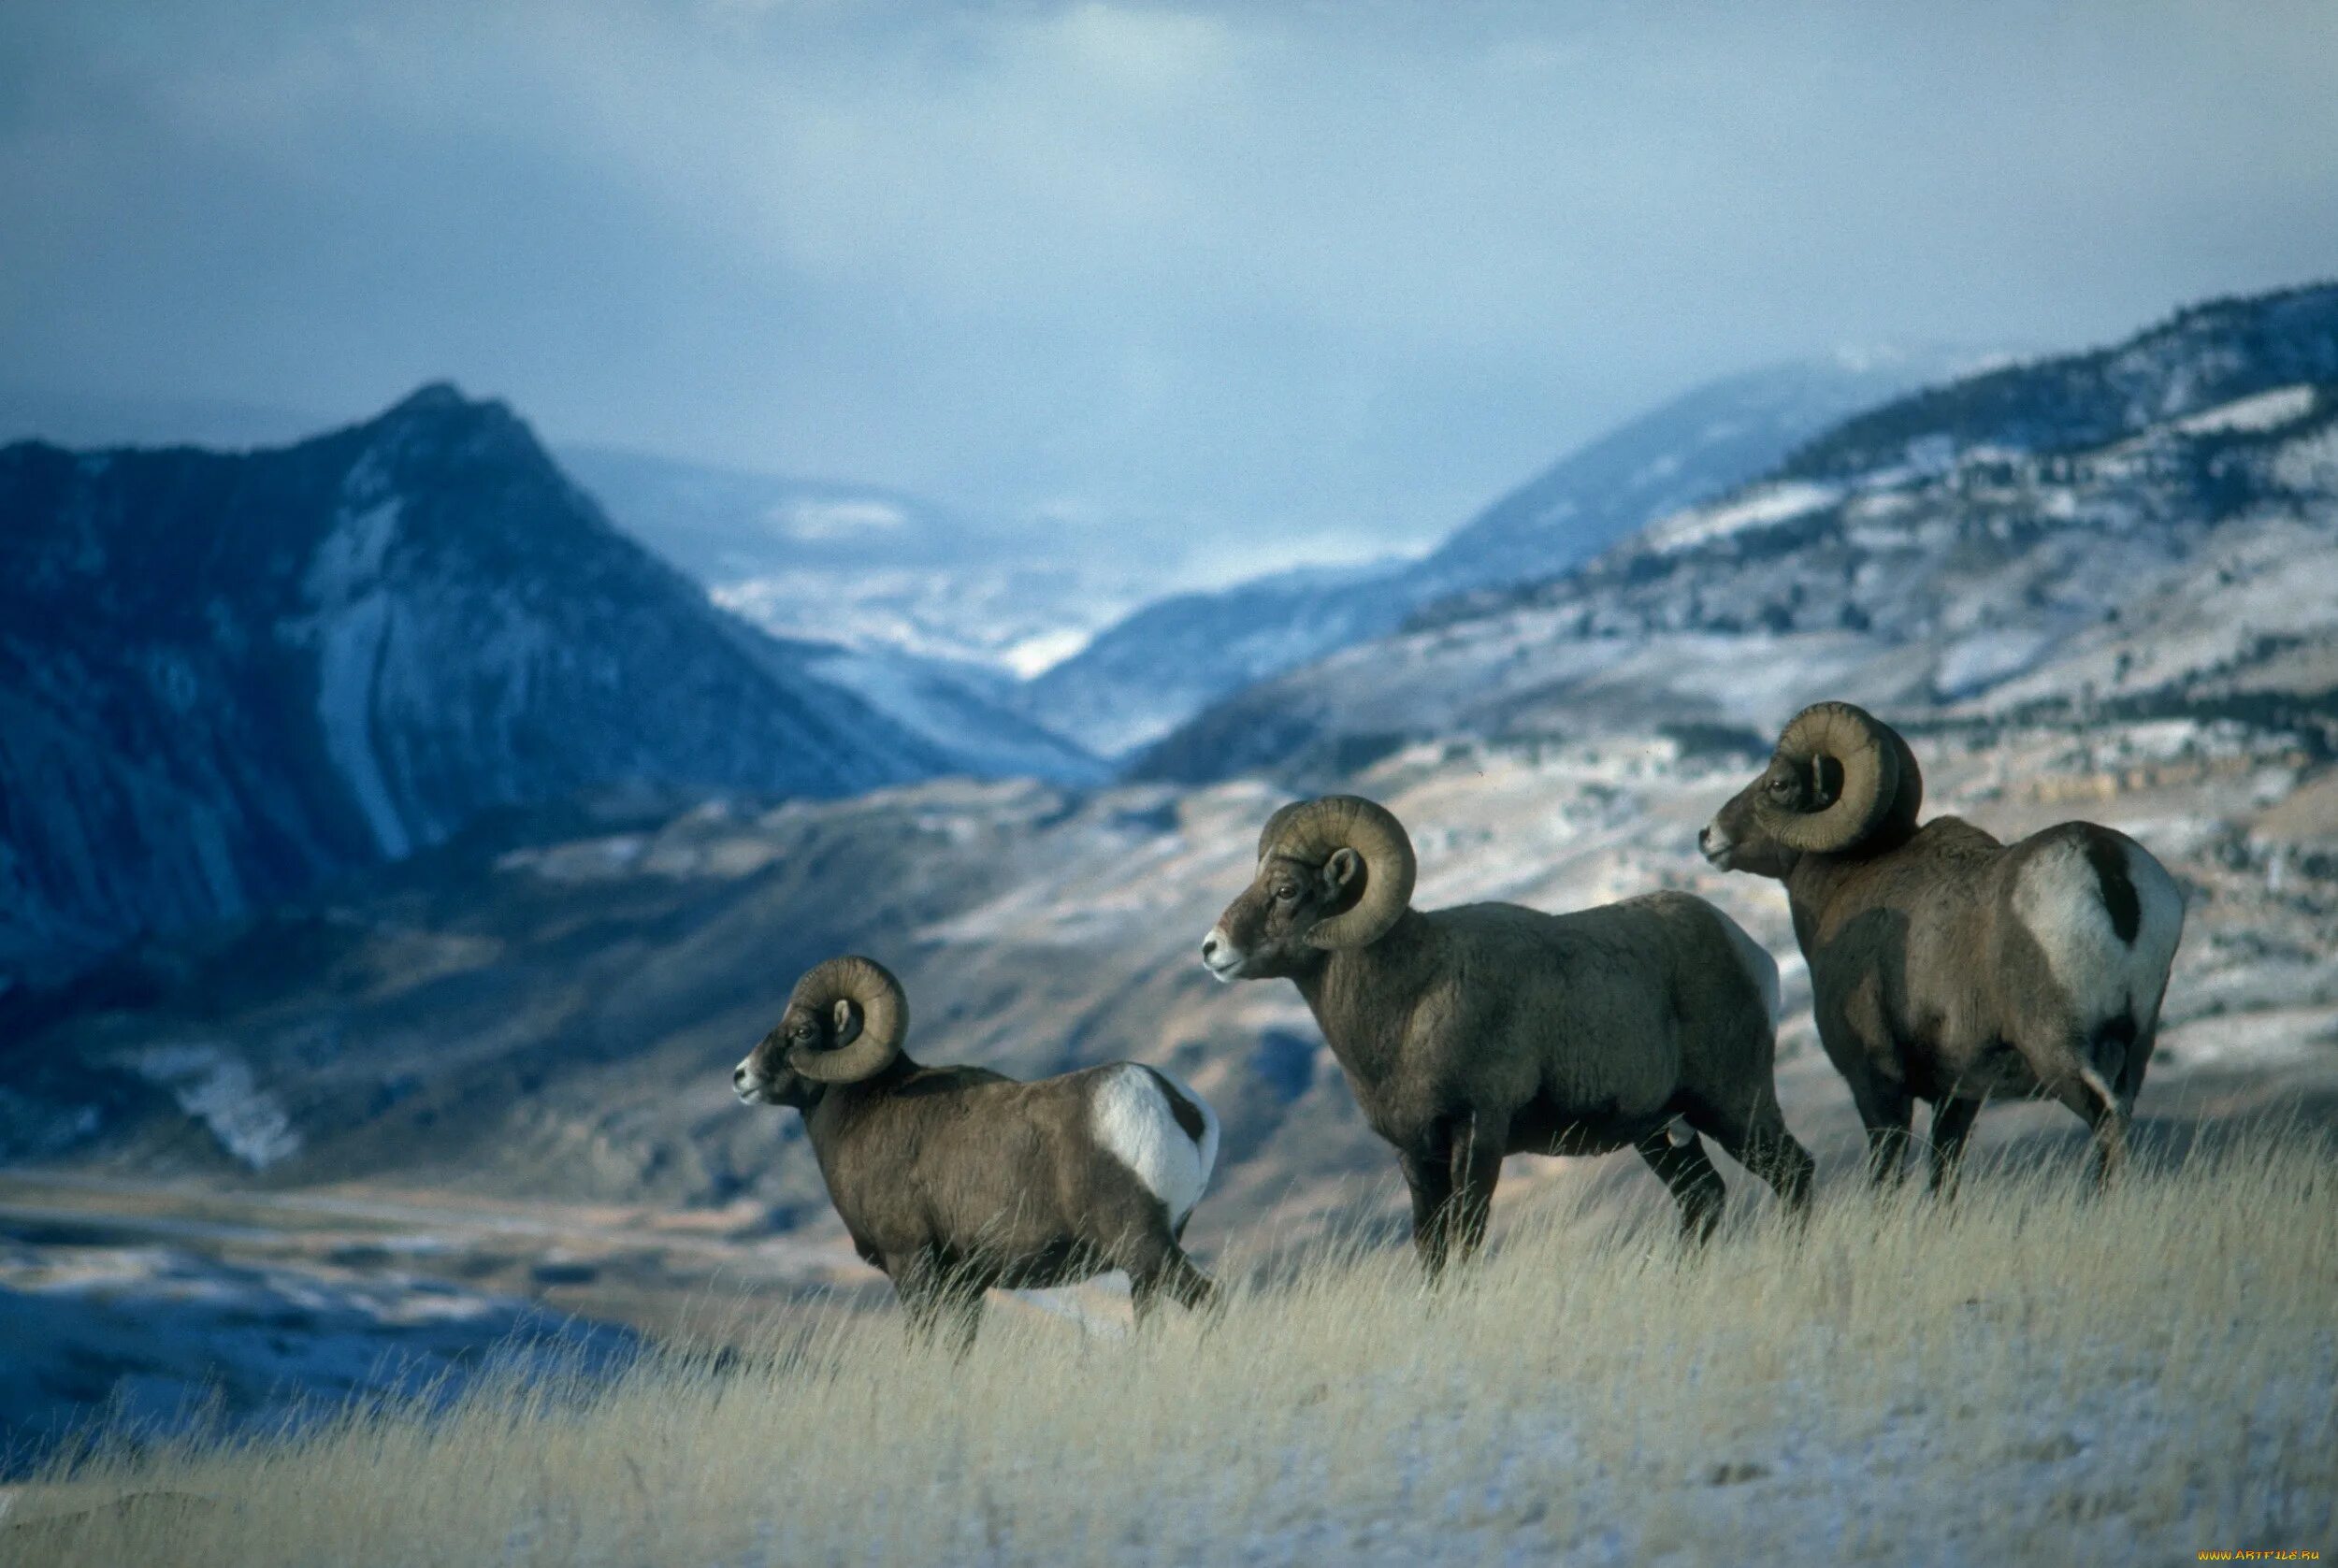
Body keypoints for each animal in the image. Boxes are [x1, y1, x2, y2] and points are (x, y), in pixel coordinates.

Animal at [729, 957, 1216, 1345]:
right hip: (1143, 1266)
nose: (740, 1077)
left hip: (1143, 1245)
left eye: (803, 1031)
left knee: (1210, 1298)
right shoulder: (966, 1287)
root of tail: (1179, 1105)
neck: (867, 1113)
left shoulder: (912, 1264)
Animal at [1206, 798, 1805, 1271]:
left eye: (1286, 890)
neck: (1408, 1007)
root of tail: (1750, 952)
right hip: (1660, 1133)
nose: (1212, 950)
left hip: (1734, 1107)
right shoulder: (1414, 1155)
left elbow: (1466, 1239)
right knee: (1704, 1197)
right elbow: (1432, 1249)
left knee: (1794, 1173)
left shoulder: (1479, 1131)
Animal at [1711, 705, 2179, 1182]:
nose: (1708, 836)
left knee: (2106, 1121)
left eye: (1779, 784)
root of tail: (2108, 868)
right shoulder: (1959, 1097)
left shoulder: (1876, 1085)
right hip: (2136, 1048)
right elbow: (1942, 1177)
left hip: (2059, 1052)